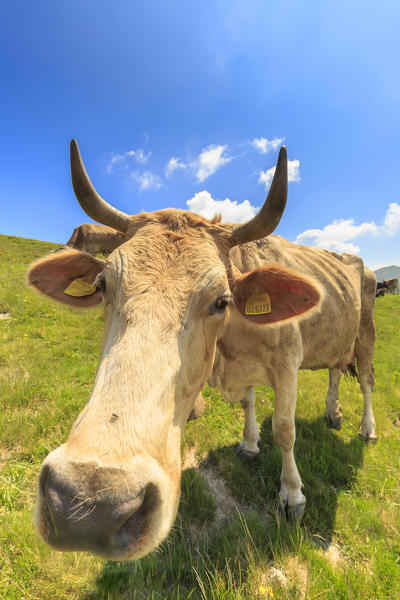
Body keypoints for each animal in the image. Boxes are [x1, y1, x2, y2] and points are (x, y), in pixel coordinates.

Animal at [26, 141, 376, 564]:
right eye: (102, 284)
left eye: (222, 300)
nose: (92, 506)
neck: (232, 347)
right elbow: (249, 404)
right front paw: (249, 444)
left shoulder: (287, 365)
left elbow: (285, 429)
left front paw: (292, 495)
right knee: (335, 370)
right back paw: (333, 412)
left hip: (366, 334)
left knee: (366, 381)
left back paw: (367, 428)